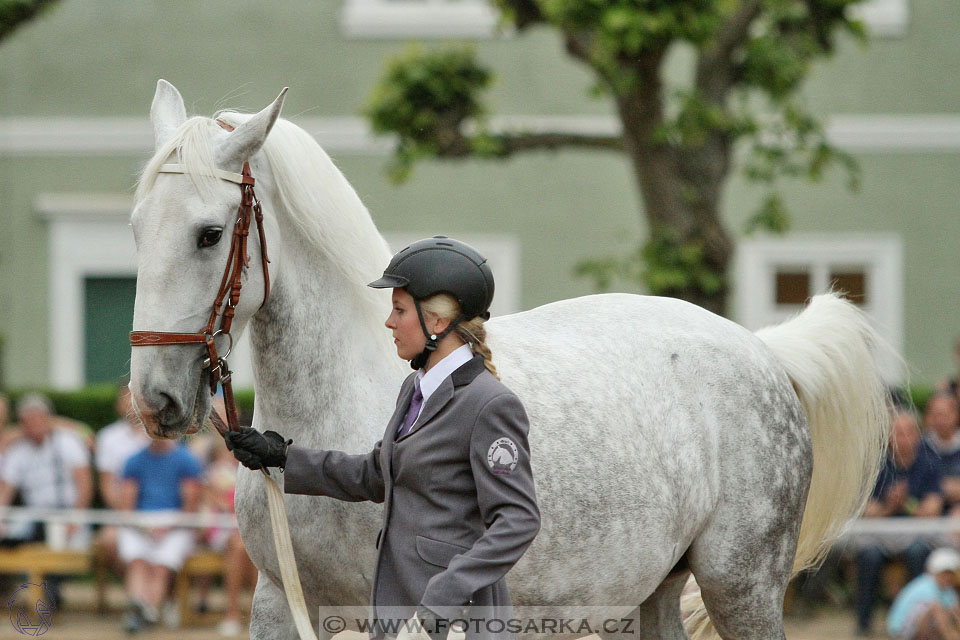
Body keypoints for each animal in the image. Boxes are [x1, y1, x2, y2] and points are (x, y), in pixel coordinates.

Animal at [129, 81, 892, 640]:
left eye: (209, 233)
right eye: (136, 226)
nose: (155, 402)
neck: (344, 395)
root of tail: (760, 349)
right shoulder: (280, 602)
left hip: (742, 585)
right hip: (654, 590)